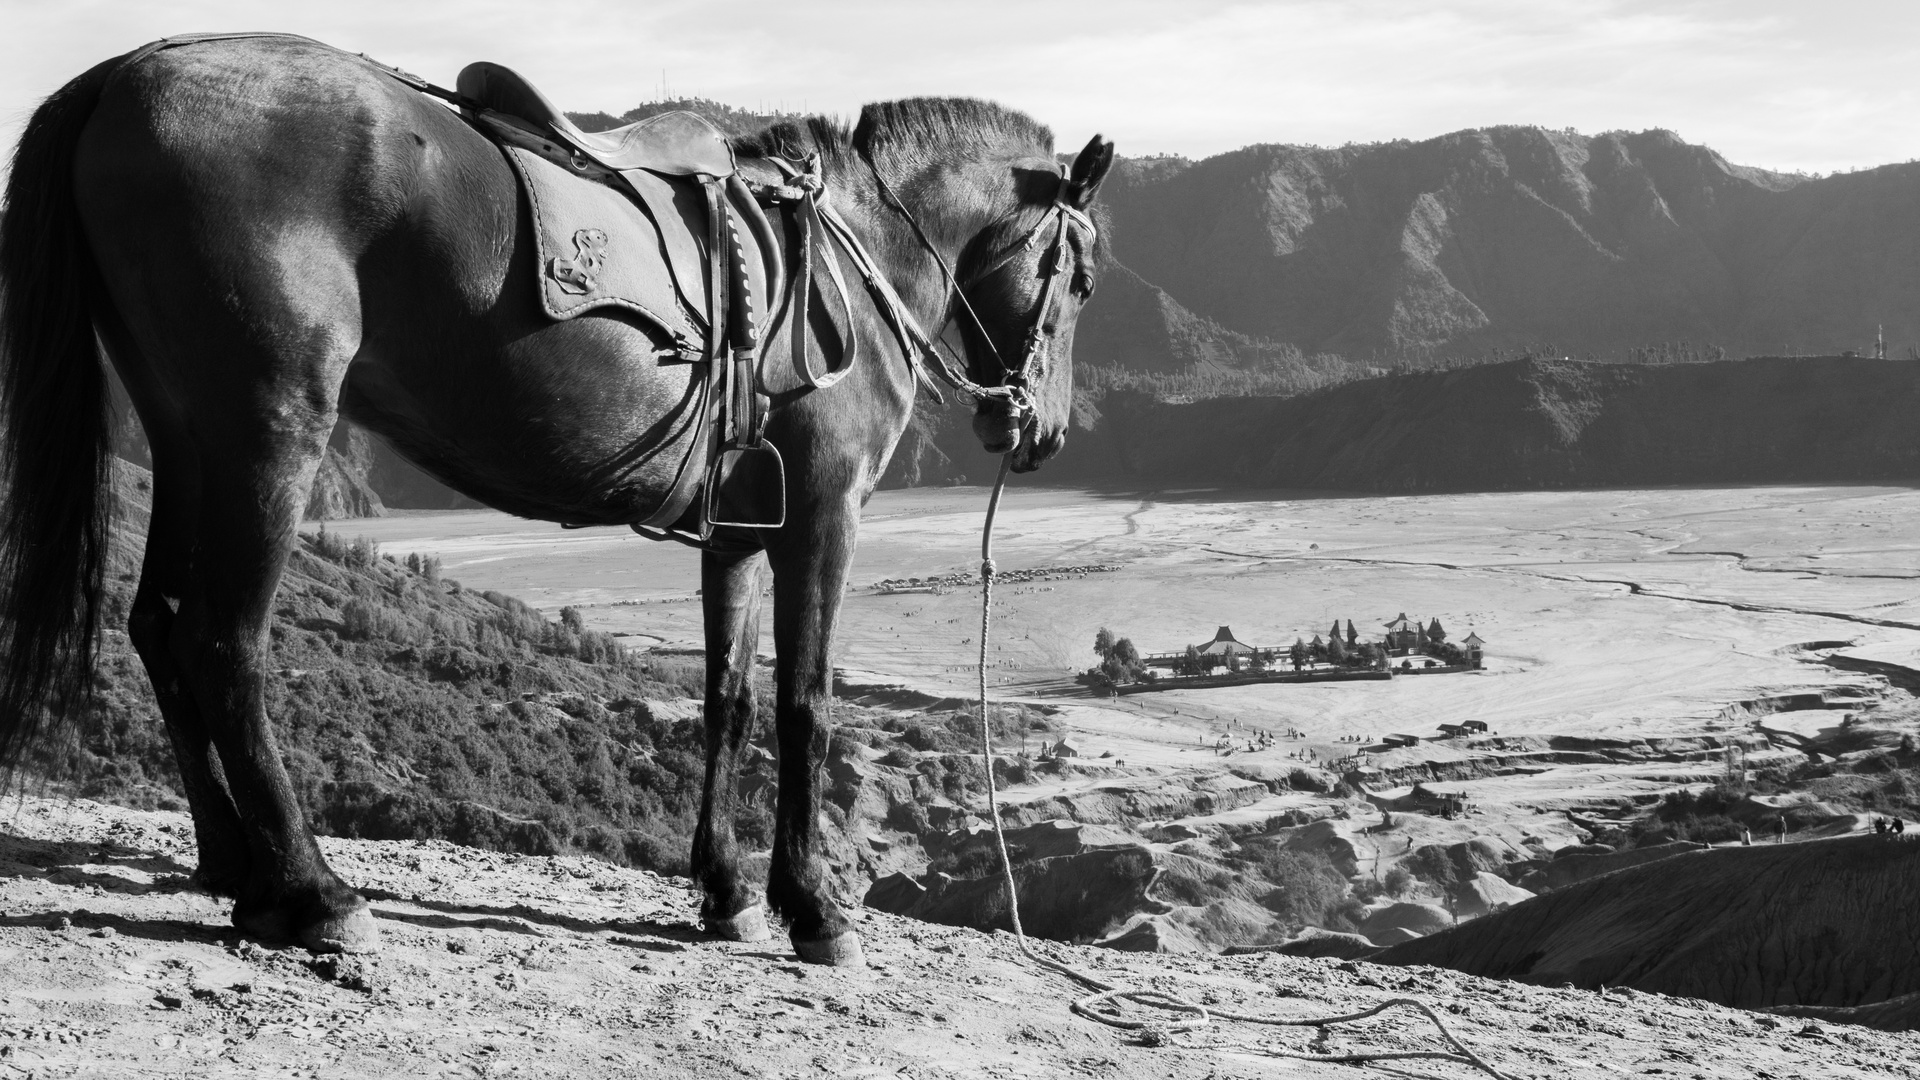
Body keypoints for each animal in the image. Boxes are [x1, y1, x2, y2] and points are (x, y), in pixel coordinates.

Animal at [0, 33, 1121, 957]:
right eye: (1081, 278)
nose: (1041, 431)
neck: (844, 254)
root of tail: (125, 73)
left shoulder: (737, 534)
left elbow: (728, 701)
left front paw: (725, 891)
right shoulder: (822, 520)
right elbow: (805, 705)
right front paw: (812, 908)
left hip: (188, 433)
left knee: (158, 623)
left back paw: (235, 865)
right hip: (269, 433)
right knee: (222, 642)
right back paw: (310, 891)